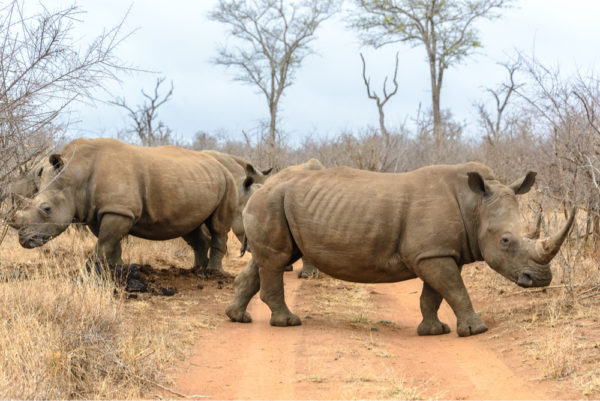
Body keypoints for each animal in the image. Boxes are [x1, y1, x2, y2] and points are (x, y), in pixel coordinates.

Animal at [9, 139, 241, 274]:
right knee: (189, 227)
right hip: (199, 180)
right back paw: (195, 270)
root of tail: (219, 165)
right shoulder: (100, 210)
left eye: (46, 209)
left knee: (218, 227)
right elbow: (111, 241)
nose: (23, 240)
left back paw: (213, 273)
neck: (75, 176)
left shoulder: (119, 210)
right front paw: (116, 268)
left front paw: (94, 269)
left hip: (229, 181)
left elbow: (106, 240)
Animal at [226, 161, 576, 336]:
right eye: (505, 241)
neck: (475, 204)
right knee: (275, 260)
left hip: (275, 204)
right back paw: (288, 323)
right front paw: (476, 330)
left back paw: (237, 318)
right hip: (271, 202)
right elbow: (455, 290)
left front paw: (434, 331)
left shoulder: (437, 252)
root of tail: (259, 189)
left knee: (267, 260)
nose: (541, 279)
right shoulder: (433, 254)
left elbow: (435, 294)